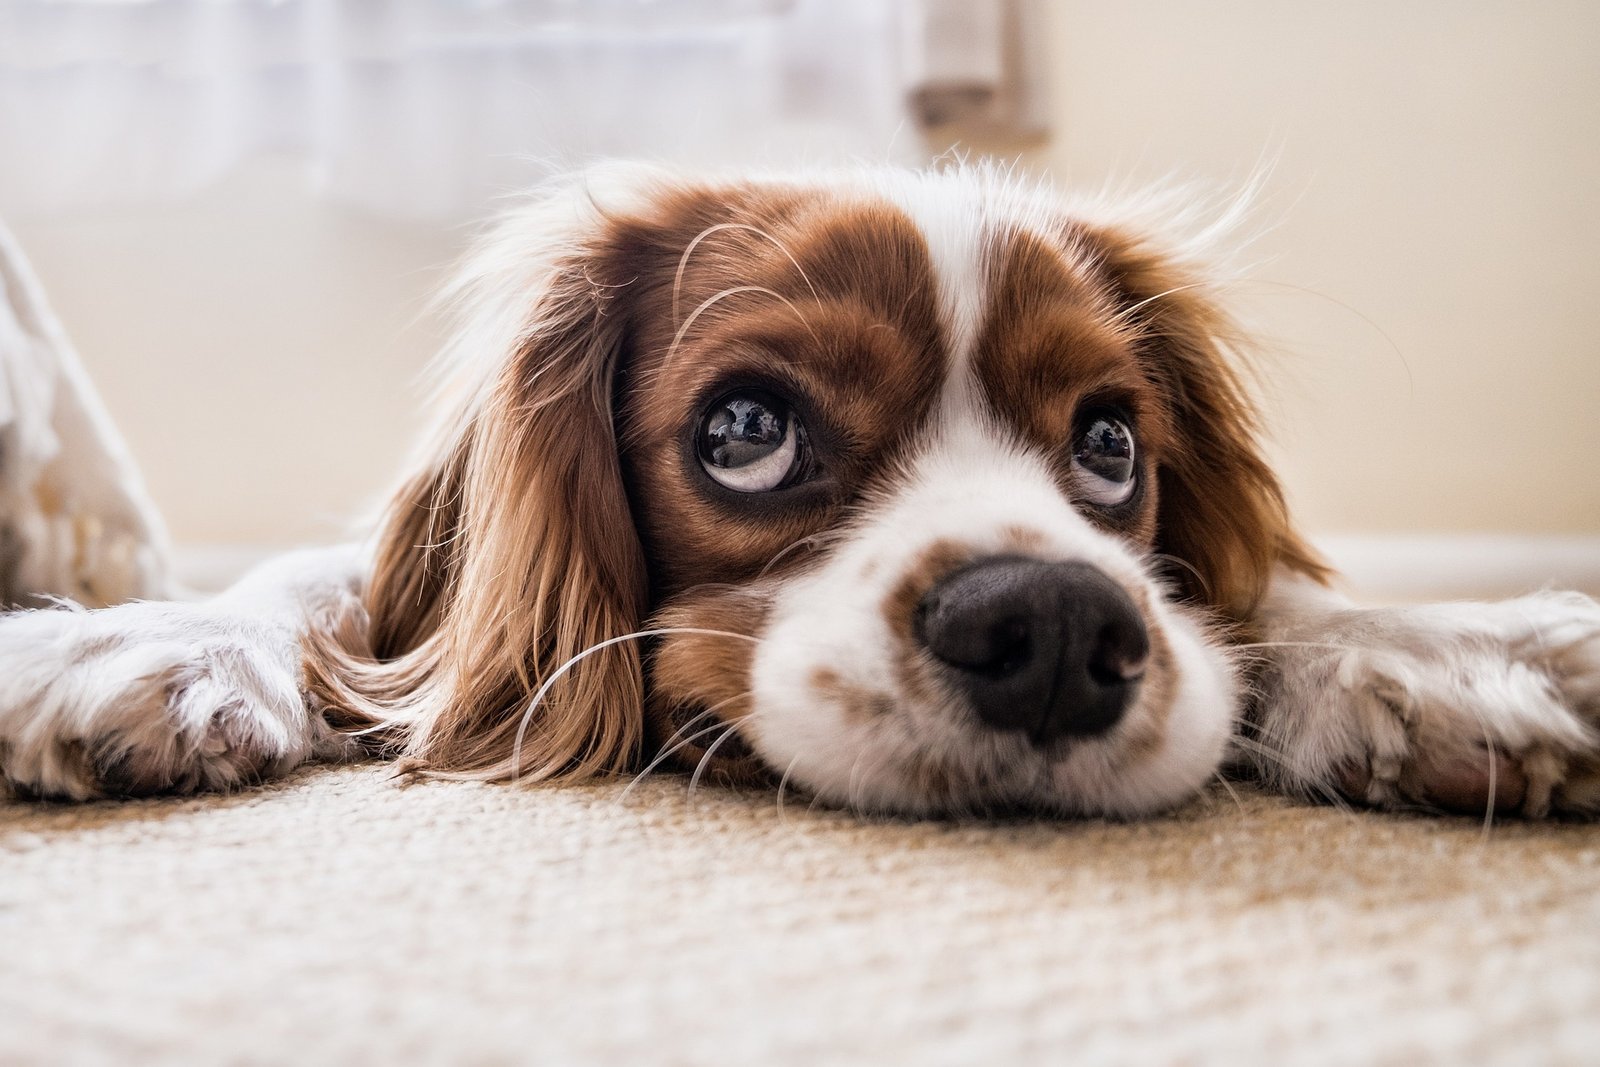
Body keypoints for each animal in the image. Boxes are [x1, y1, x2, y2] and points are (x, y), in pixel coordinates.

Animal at [3, 164, 1600, 819]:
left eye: (1109, 446)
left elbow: (1266, 596)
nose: (1054, 628)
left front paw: (1447, 648)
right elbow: (318, 587)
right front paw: (142, 639)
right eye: (746, 429)